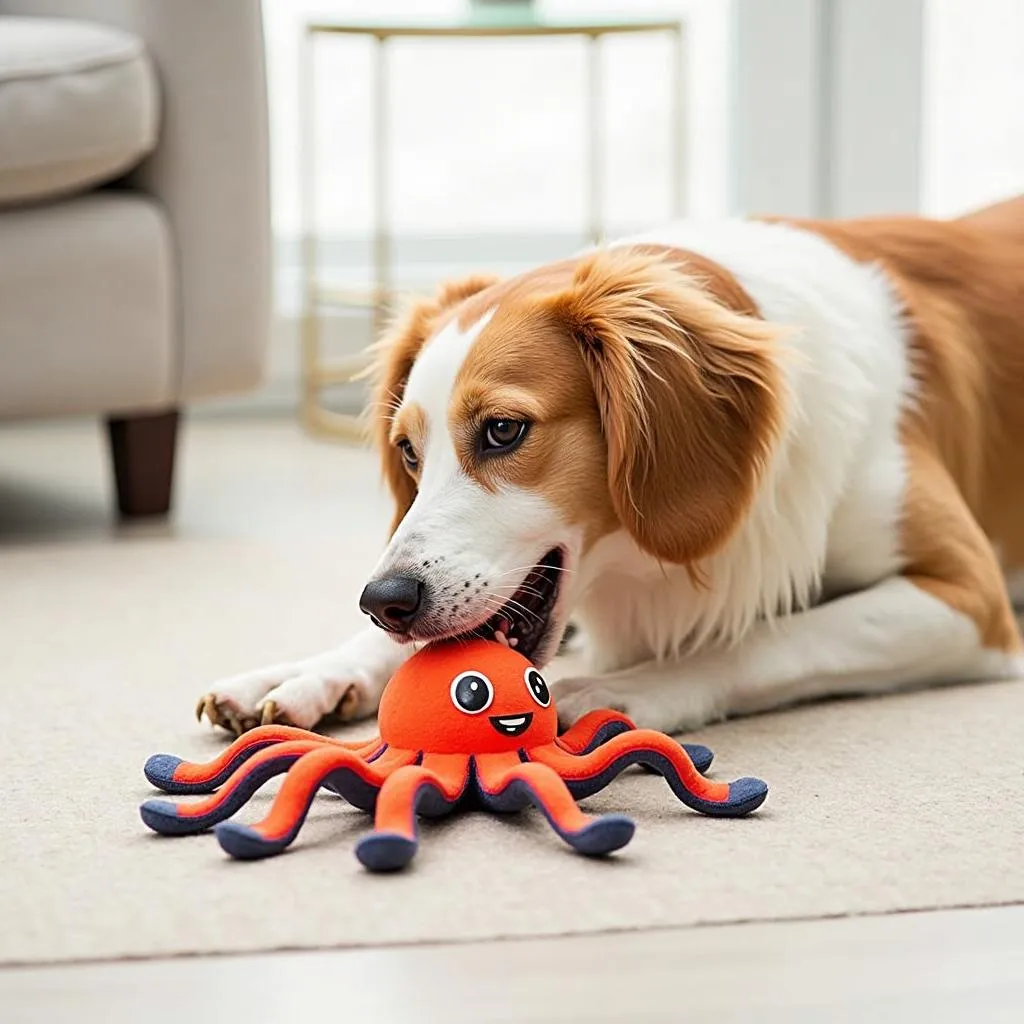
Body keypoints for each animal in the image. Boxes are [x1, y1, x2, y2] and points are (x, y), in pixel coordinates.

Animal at [197, 193, 1024, 737]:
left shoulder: (971, 598)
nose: (384, 600)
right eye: (408, 451)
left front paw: (617, 692)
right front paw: (308, 672)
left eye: (502, 431)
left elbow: (768, 638)